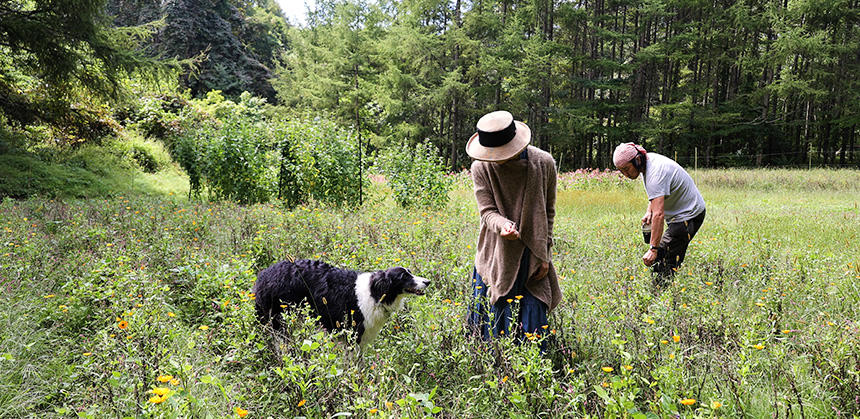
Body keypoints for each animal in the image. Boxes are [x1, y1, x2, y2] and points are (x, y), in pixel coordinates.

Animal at [254, 260, 430, 346]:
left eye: (410, 272)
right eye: (404, 277)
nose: (427, 281)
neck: (375, 292)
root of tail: (264, 275)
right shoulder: (352, 333)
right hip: (278, 320)